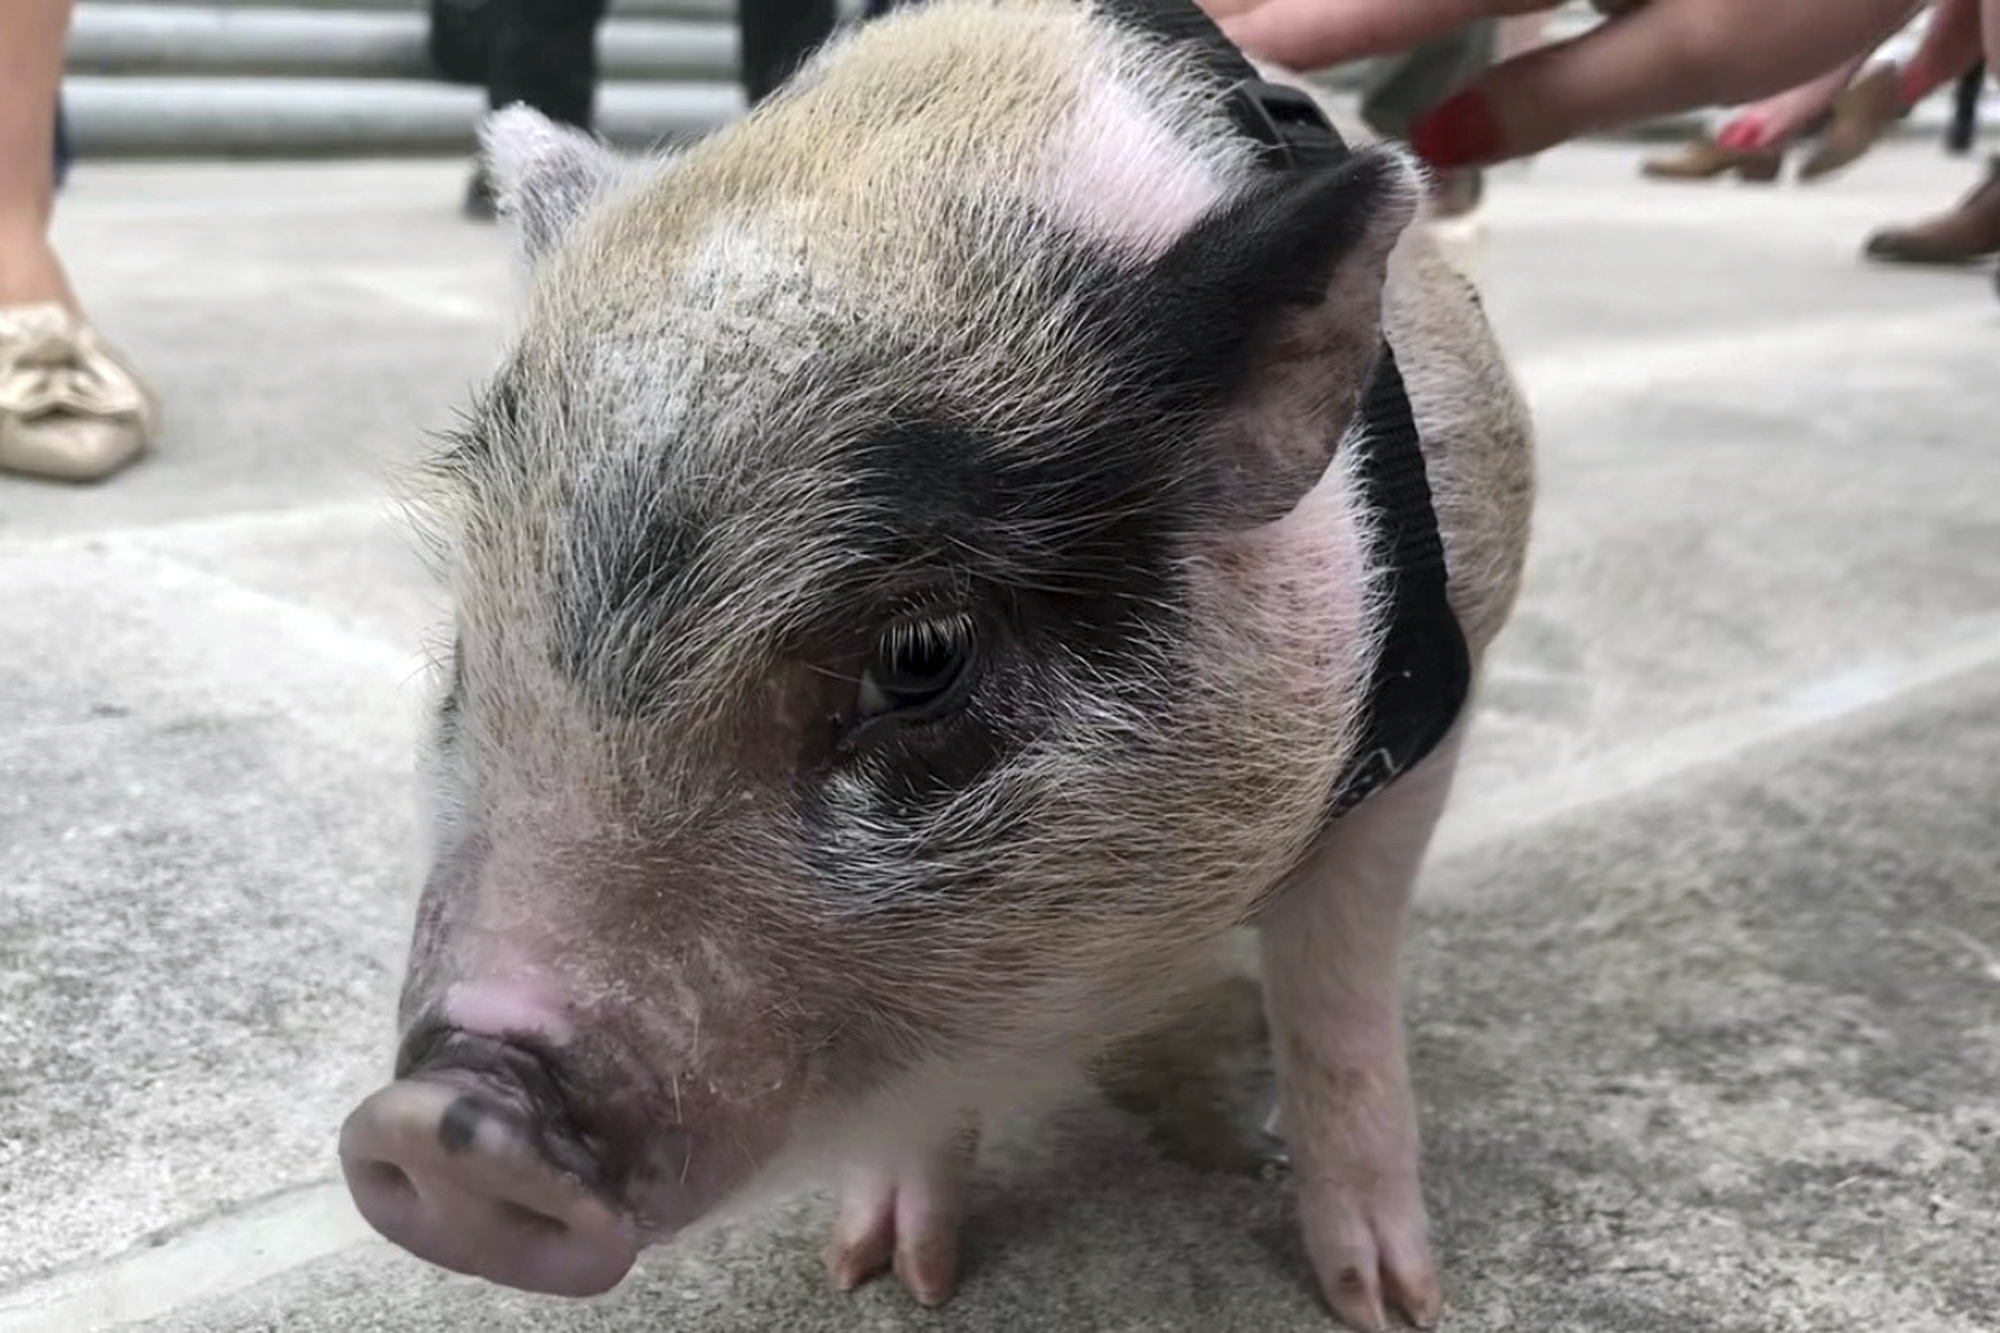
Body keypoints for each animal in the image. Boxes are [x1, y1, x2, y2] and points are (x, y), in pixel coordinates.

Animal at [337, 2, 1533, 1328]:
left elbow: (1336, 997)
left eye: (920, 659)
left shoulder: (1425, 721)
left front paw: (1387, 1303)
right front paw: (883, 1273)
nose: (441, 1123)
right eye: (466, 643)